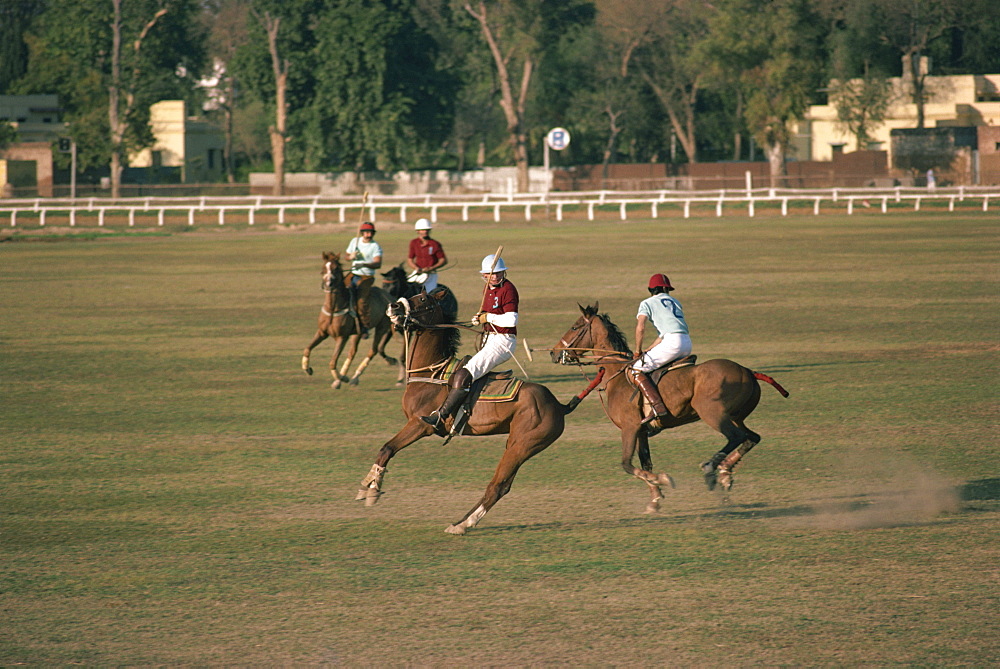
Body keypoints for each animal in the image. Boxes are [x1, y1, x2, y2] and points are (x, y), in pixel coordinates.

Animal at [300, 249, 398, 386]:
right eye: (324, 268)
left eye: (336, 268)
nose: (328, 284)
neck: (334, 308)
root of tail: (390, 297)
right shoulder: (322, 332)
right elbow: (307, 349)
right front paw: (308, 369)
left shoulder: (342, 337)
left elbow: (332, 362)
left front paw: (342, 378)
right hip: (357, 333)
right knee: (352, 352)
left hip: (381, 327)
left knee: (373, 350)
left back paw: (354, 377)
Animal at [356, 290, 584, 536]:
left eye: (423, 300)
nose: (394, 306)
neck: (432, 372)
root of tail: (558, 405)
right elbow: (386, 448)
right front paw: (369, 487)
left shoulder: (420, 424)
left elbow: (387, 448)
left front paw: (370, 490)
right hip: (516, 444)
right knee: (504, 484)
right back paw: (463, 521)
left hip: (523, 445)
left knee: (498, 485)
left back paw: (462, 524)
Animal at [548, 302, 788, 512]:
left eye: (575, 326)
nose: (554, 352)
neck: (616, 374)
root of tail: (748, 371)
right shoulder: (641, 430)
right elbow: (645, 464)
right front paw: (655, 499)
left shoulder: (630, 427)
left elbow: (627, 464)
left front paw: (664, 480)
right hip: (737, 416)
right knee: (752, 437)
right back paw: (725, 473)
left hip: (712, 413)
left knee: (736, 436)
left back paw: (711, 469)